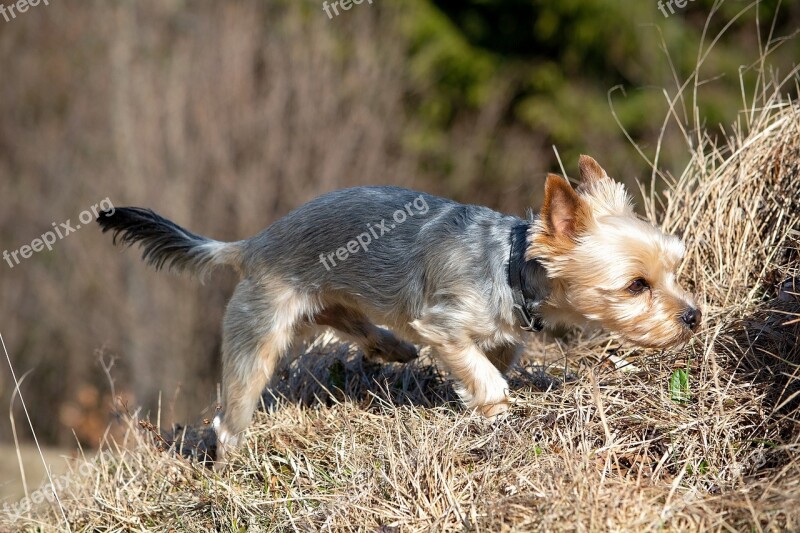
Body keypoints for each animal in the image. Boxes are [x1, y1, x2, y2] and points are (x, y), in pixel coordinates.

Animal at [98, 156, 700, 464]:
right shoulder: (445, 325)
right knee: (231, 418)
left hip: (330, 298)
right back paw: (229, 466)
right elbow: (487, 379)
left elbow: (494, 362)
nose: (693, 316)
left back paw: (390, 346)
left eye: (676, 268)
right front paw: (497, 414)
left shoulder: (501, 336)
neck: (509, 266)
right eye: (636, 285)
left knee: (344, 318)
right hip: (259, 335)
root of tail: (253, 243)